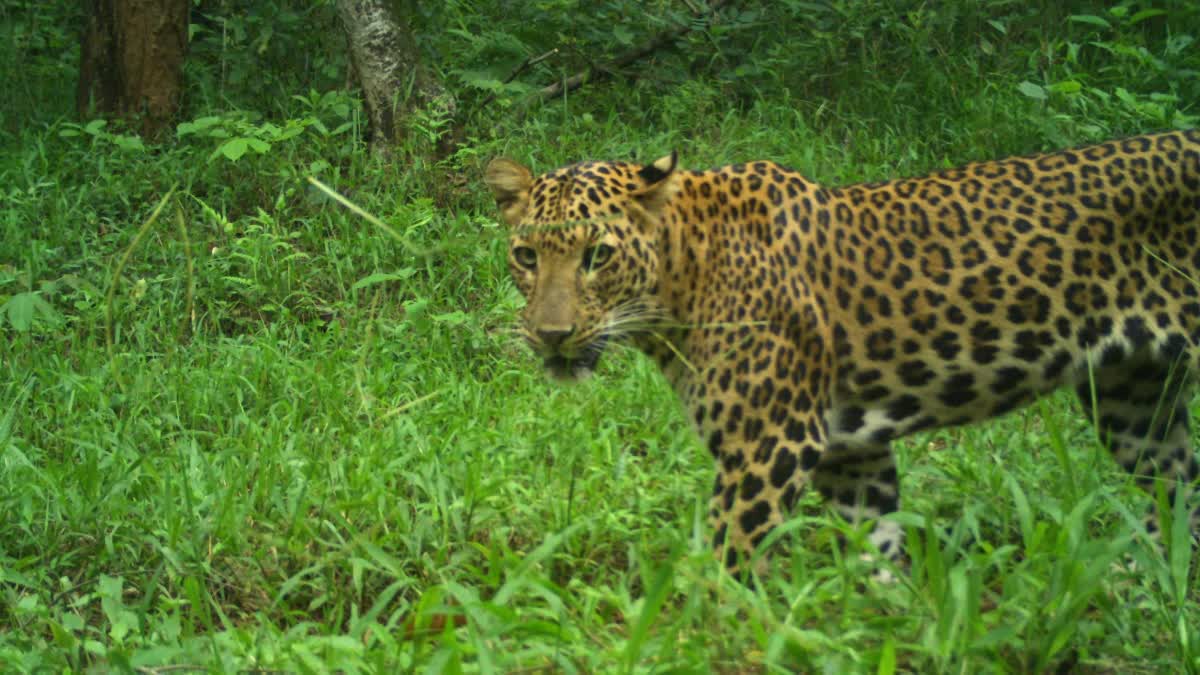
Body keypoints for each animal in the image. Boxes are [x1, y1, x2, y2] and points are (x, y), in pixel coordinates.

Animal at [482, 131, 1200, 578]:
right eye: (527, 256)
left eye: (597, 255)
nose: (550, 334)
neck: (684, 273)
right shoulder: (851, 454)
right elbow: (876, 552)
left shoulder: (768, 443)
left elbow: (728, 563)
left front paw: (702, 631)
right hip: (1135, 402)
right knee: (1179, 494)